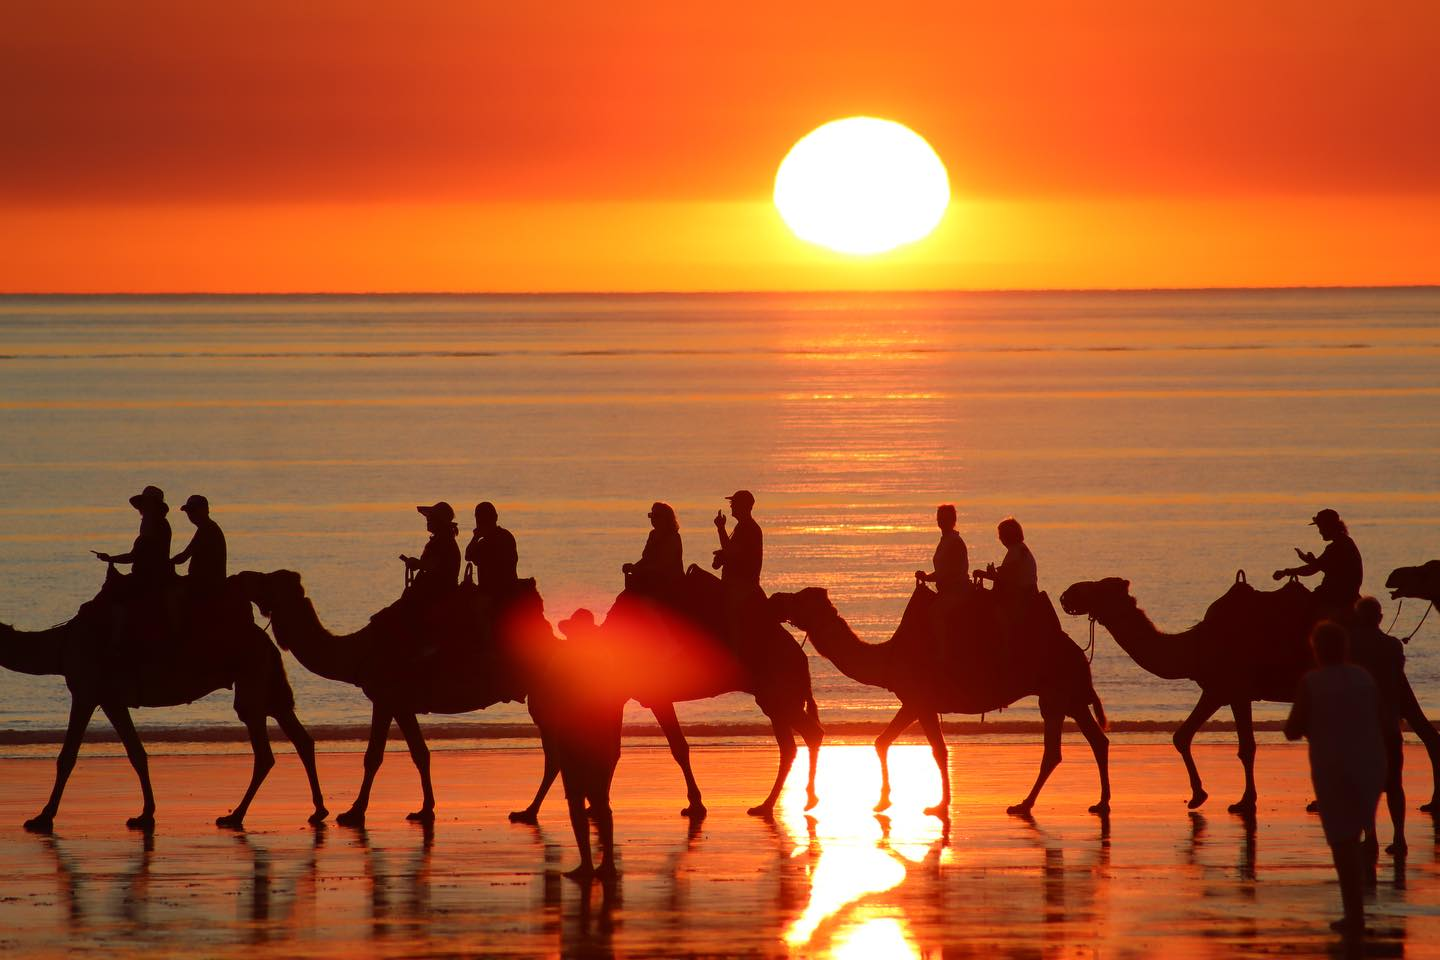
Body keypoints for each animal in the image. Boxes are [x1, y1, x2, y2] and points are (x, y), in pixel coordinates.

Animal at [2, 566, 327, 833]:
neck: (60, 646)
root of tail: (265, 639)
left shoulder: (86, 690)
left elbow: (67, 756)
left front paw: (42, 818)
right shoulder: (111, 699)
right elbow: (136, 753)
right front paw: (145, 815)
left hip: (251, 679)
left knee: (263, 751)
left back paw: (235, 816)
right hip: (269, 685)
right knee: (300, 738)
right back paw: (317, 810)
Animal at [511, 575, 825, 821]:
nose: (535, 708)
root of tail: (801, 657)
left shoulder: (654, 696)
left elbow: (676, 747)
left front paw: (695, 805)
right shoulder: (620, 698)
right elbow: (615, 748)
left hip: (779, 694)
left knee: (809, 735)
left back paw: (794, 801)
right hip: (774, 698)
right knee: (791, 744)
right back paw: (772, 804)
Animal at [769, 583, 1110, 818]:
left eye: (799, 598)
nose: (775, 599)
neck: (887, 658)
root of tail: (1079, 653)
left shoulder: (922, 702)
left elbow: (938, 750)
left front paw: (939, 804)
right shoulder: (913, 702)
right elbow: (883, 742)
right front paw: (883, 801)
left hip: (1055, 692)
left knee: (1056, 750)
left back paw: (1026, 805)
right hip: (1071, 696)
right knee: (1096, 741)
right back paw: (1097, 802)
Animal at [1060, 575, 1440, 813]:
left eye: (1099, 588)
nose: (1067, 594)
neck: (1195, 645)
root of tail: (1391, 641)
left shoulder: (1235, 689)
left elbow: (1246, 747)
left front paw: (1243, 801)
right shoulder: (1218, 689)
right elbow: (1182, 736)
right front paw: (1198, 796)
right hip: (1392, 680)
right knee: (1424, 731)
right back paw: (1427, 802)